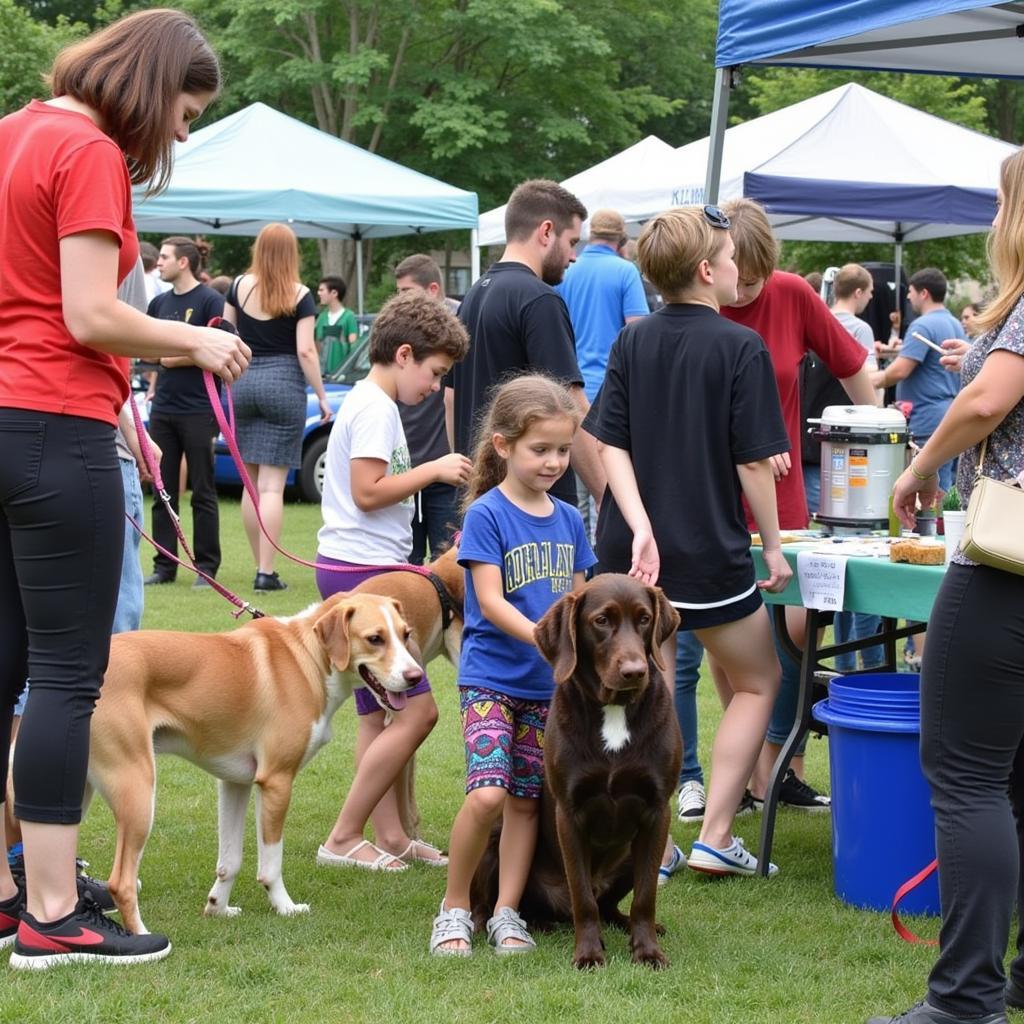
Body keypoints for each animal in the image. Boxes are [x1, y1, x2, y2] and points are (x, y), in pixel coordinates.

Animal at [88, 589, 421, 933]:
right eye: (375, 638)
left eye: (405, 634)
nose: (416, 677)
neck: (307, 658)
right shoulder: (276, 782)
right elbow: (271, 864)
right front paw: (285, 907)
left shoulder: (234, 783)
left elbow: (230, 861)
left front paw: (218, 907)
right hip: (137, 790)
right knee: (121, 882)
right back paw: (143, 936)